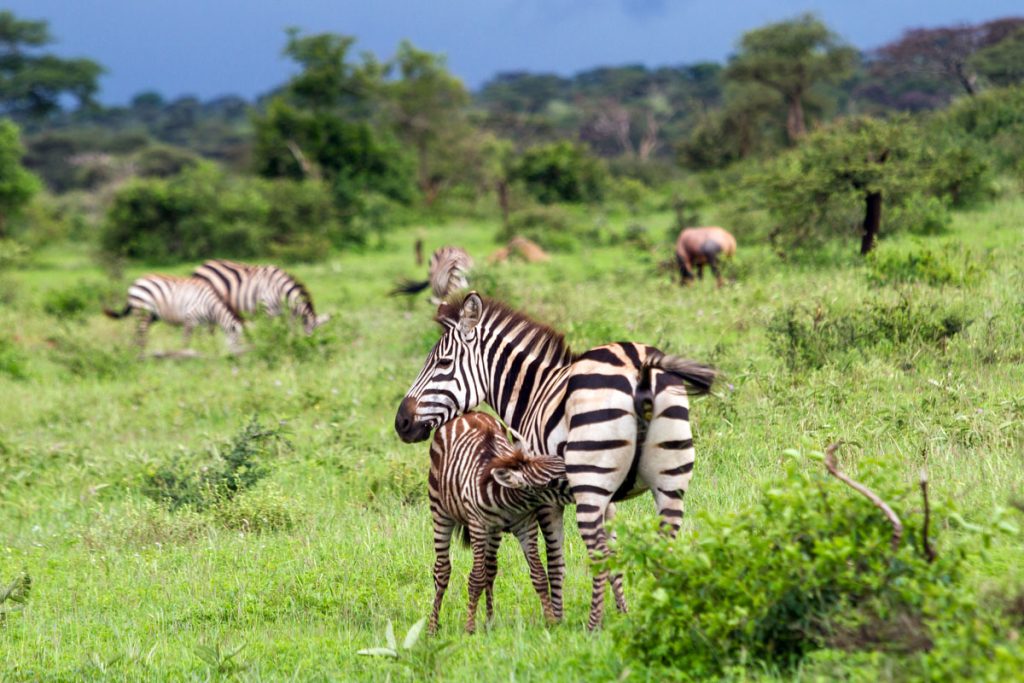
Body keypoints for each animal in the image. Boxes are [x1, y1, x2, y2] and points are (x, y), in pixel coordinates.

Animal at [193, 259, 329, 333]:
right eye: (309, 334)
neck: (278, 290)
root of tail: (202, 265)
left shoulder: (284, 313)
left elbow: (290, 328)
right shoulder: (266, 311)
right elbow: (270, 331)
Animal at [425, 411, 565, 634]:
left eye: (558, 460)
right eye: (551, 482)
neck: (508, 501)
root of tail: (469, 413)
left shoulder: (526, 526)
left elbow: (539, 574)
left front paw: (551, 621)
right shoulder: (478, 526)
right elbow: (476, 579)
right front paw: (469, 628)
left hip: (494, 531)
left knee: (490, 569)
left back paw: (489, 621)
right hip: (440, 510)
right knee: (442, 570)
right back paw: (432, 627)